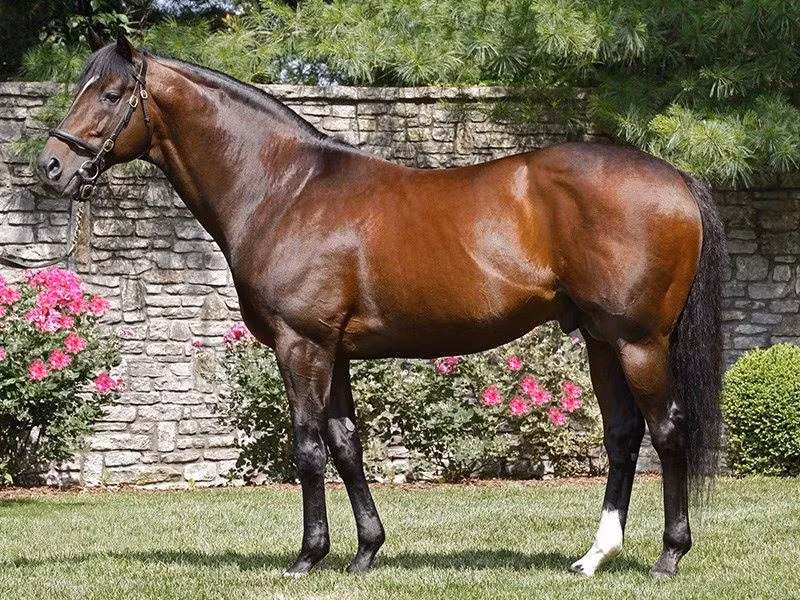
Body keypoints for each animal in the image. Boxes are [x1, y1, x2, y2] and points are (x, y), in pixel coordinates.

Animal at [36, 34, 725, 579]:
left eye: (109, 94)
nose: (52, 167)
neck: (285, 189)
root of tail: (675, 178)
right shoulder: (333, 349)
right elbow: (346, 444)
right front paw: (366, 551)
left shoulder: (301, 343)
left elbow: (308, 446)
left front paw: (308, 557)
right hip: (602, 339)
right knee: (624, 434)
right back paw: (593, 557)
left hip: (639, 341)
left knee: (668, 429)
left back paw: (669, 556)